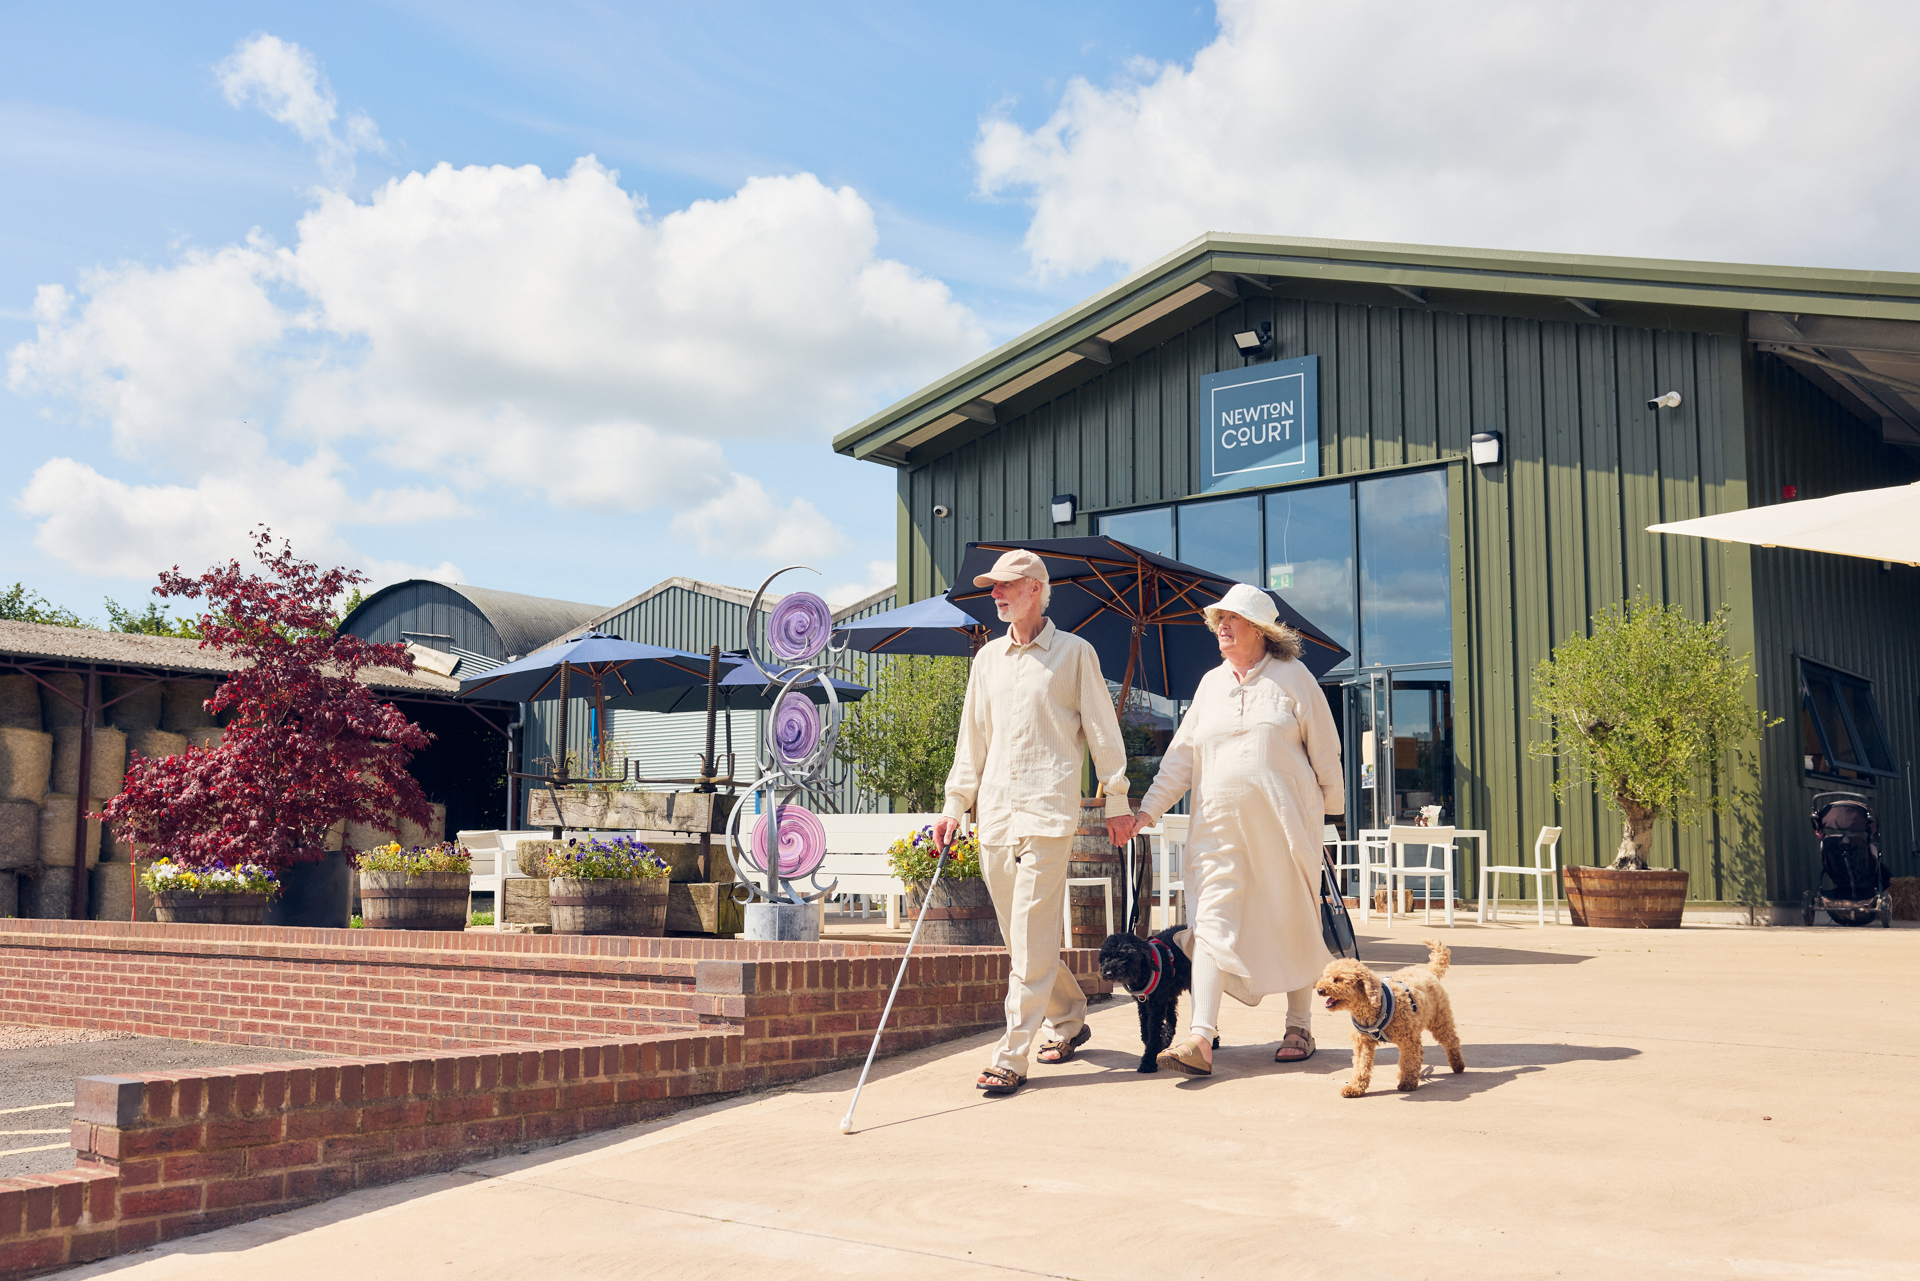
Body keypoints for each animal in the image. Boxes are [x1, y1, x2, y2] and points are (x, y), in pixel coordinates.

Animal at [1098, 933, 1213, 1075]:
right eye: (1105, 957)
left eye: (1123, 955)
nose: (1108, 972)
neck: (1143, 973)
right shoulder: (1143, 1004)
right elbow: (1145, 1030)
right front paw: (1156, 1045)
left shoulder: (1156, 1006)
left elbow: (1153, 1033)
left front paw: (1148, 1062)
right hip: (1170, 994)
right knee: (1172, 1018)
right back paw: (1167, 1039)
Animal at [1313, 937, 1459, 1098]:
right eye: (1325, 976)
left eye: (1338, 979)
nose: (1320, 990)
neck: (1372, 1007)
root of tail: (1428, 972)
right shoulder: (1363, 1043)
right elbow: (1361, 1066)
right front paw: (1355, 1087)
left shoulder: (1408, 1040)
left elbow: (1409, 1059)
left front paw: (1407, 1083)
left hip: (1439, 1021)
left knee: (1451, 1040)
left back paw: (1458, 1064)